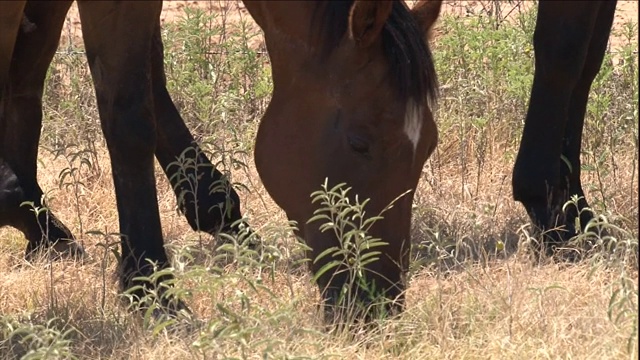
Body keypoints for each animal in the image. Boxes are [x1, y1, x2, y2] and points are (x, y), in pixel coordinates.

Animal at [0, 0, 616, 320]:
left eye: (429, 147)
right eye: (361, 142)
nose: (378, 302)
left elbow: (585, 59)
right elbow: (126, 115)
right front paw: (152, 291)